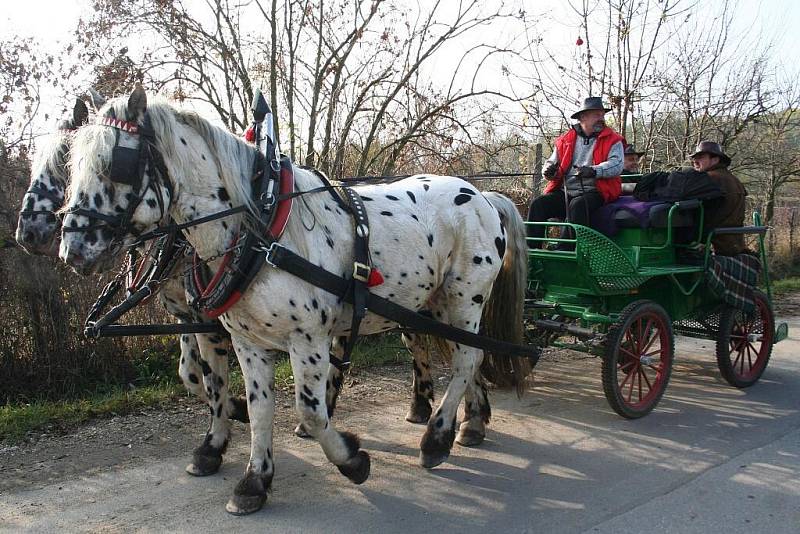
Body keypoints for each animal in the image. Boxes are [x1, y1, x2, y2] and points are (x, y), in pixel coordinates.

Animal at [14, 92, 247, 478]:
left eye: (64, 163)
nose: (27, 232)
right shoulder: (186, 316)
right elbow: (191, 374)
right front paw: (235, 407)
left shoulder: (209, 319)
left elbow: (214, 376)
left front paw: (219, 434)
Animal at [61, 87, 532, 516]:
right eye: (73, 164)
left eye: (116, 163)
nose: (72, 249)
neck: (259, 229)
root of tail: (482, 195)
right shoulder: (246, 341)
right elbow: (256, 405)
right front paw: (254, 479)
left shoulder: (308, 339)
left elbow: (308, 411)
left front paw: (351, 460)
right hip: (433, 304)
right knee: (465, 356)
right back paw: (470, 422)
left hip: (465, 298)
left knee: (467, 358)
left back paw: (436, 438)